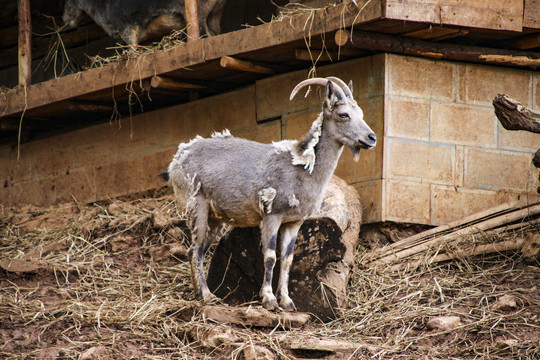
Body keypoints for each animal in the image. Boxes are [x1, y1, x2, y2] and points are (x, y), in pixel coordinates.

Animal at [161, 76, 376, 312]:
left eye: (361, 113)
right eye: (343, 114)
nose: (371, 138)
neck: (302, 169)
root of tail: (176, 159)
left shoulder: (294, 221)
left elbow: (287, 259)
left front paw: (288, 301)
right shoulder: (272, 215)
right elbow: (270, 256)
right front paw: (269, 299)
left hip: (215, 217)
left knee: (197, 249)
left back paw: (200, 293)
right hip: (195, 205)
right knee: (195, 249)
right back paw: (206, 295)